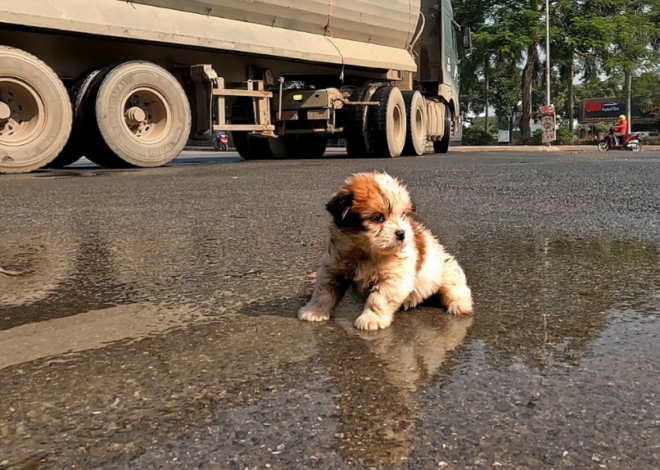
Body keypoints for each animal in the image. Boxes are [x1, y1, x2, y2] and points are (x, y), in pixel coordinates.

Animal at [300, 172, 474, 330]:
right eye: (378, 218)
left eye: (403, 215)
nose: (402, 233)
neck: (366, 251)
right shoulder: (334, 266)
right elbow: (324, 291)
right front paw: (314, 311)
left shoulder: (394, 278)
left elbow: (378, 298)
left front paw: (371, 319)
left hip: (447, 272)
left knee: (455, 289)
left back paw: (460, 305)